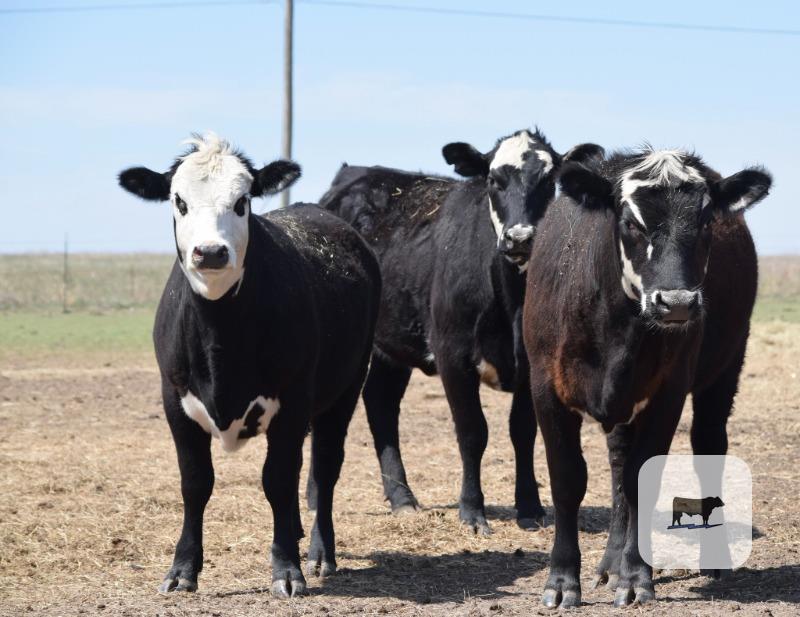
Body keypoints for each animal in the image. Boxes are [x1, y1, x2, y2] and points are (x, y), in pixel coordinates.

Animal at [117, 133, 381, 598]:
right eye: (179, 201)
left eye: (242, 201)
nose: (210, 252)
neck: (221, 337)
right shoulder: (174, 401)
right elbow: (195, 482)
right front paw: (182, 569)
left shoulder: (293, 401)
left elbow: (277, 479)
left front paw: (286, 570)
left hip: (346, 388)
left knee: (325, 468)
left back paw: (320, 553)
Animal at [319, 129, 604, 533]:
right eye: (494, 179)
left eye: (549, 180)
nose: (520, 237)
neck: (508, 299)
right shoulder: (452, 355)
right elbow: (472, 432)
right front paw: (472, 510)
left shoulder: (531, 361)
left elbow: (522, 431)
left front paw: (529, 506)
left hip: (392, 346)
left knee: (380, 403)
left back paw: (402, 498)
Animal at [522, 147, 770, 608]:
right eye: (631, 222)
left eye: (706, 222)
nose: (677, 302)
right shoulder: (544, 386)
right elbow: (568, 479)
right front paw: (563, 581)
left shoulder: (668, 392)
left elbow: (643, 477)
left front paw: (637, 577)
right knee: (619, 462)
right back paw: (610, 562)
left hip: (725, 368)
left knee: (708, 443)